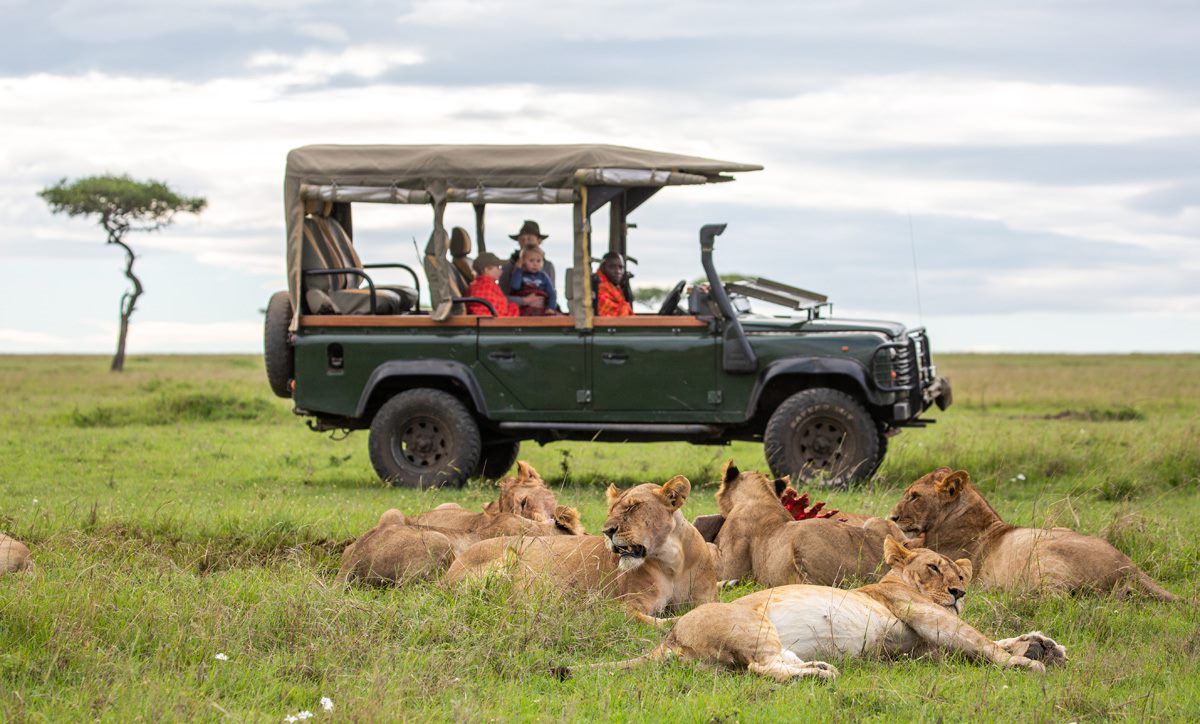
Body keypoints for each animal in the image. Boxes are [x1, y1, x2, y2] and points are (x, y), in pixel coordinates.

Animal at [446, 475, 715, 624]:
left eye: (632, 507)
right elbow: (662, 622)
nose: (607, 531)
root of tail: (449, 571)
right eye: (611, 510)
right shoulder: (625, 607)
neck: (671, 562)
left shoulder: (704, 597)